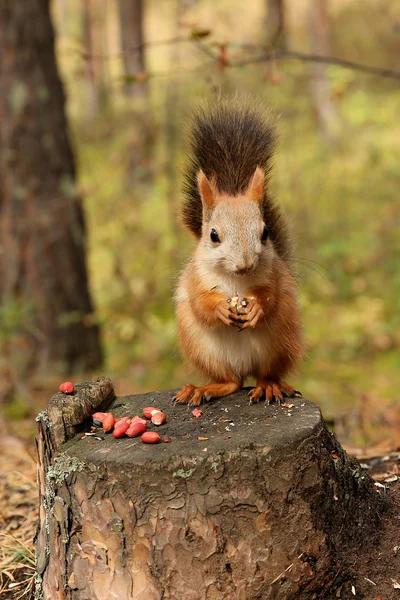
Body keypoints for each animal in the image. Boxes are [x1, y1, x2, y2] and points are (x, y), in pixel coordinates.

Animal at [173, 99, 304, 408]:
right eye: (213, 235)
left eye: (265, 232)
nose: (245, 265)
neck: (237, 282)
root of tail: (244, 368)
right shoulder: (196, 278)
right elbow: (200, 303)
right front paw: (220, 308)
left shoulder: (274, 276)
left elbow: (270, 297)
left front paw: (256, 306)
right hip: (204, 350)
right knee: (231, 382)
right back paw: (203, 389)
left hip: (279, 342)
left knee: (266, 374)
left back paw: (268, 386)